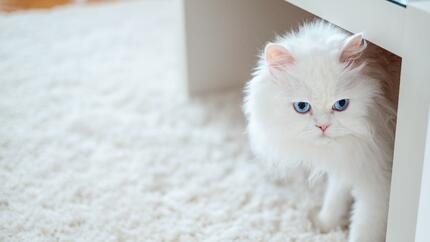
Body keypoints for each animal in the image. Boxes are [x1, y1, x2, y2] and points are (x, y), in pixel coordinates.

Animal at [244, 20, 398, 242]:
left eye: (341, 104)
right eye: (301, 106)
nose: (323, 126)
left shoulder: (378, 184)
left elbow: (363, 228)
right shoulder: (350, 159)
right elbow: (335, 197)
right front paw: (325, 226)